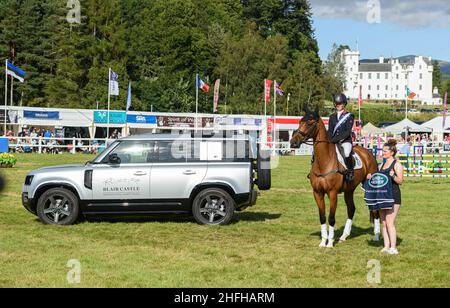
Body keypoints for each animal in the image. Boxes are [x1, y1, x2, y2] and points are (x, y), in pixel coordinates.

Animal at [290, 106, 378, 248]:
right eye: (299, 122)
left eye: (309, 123)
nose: (293, 142)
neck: (323, 161)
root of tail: (368, 153)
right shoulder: (317, 193)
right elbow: (322, 217)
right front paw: (322, 242)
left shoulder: (332, 193)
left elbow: (331, 217)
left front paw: (330, 243)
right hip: (349, 190)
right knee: (351, 209)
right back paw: (343, 236)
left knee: (375, 209)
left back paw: (376, 236)